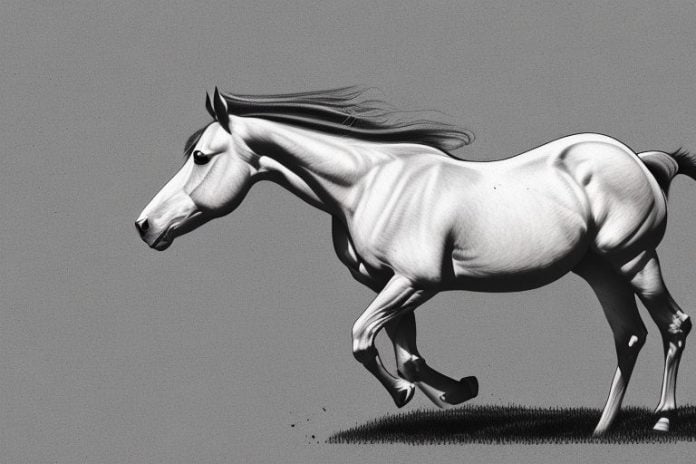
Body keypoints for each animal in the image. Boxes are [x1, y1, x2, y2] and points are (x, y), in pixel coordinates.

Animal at [136, 86, 695, 436]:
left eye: (201, 157)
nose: (145, 225)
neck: (367, 187)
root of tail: (642, 161)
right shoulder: (391, 285)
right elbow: (407, 354)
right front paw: (459, 391)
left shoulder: (414, 281)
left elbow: (363, 341)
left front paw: (407, 394)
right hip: (597, 269)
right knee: (629, 337)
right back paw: (601, 428)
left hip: (635, 260)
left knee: (673, 325)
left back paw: (662, 419)